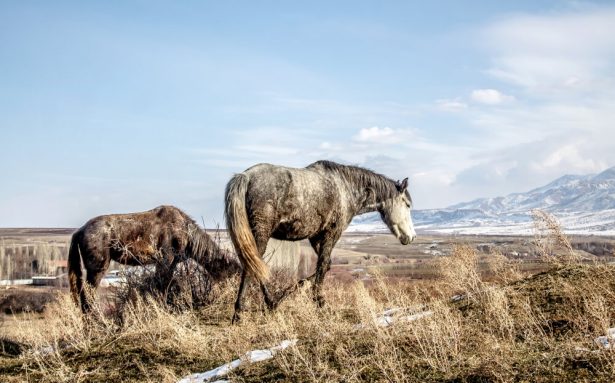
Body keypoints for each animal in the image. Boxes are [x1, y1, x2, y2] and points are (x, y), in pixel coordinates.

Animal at [68, 206, 241, 314]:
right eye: (233, 273)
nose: (233, 296)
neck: (185, 231)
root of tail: (80, 231)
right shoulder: (166, 261)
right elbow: (163, 285)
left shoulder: (169, 264)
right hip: (97, 269)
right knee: (87, 295)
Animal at [224, 160, 416, 322]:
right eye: (407, 204)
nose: (412, 237)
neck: (345, 188)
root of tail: (246, 176)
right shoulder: (331, 233)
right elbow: (323, 266)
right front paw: (320, 302)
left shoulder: (316, 236)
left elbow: (325, 266)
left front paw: (293, 292)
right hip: (261, 234)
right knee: (252, 267)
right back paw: (242, 313)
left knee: (256, 266)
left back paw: (271, 303)